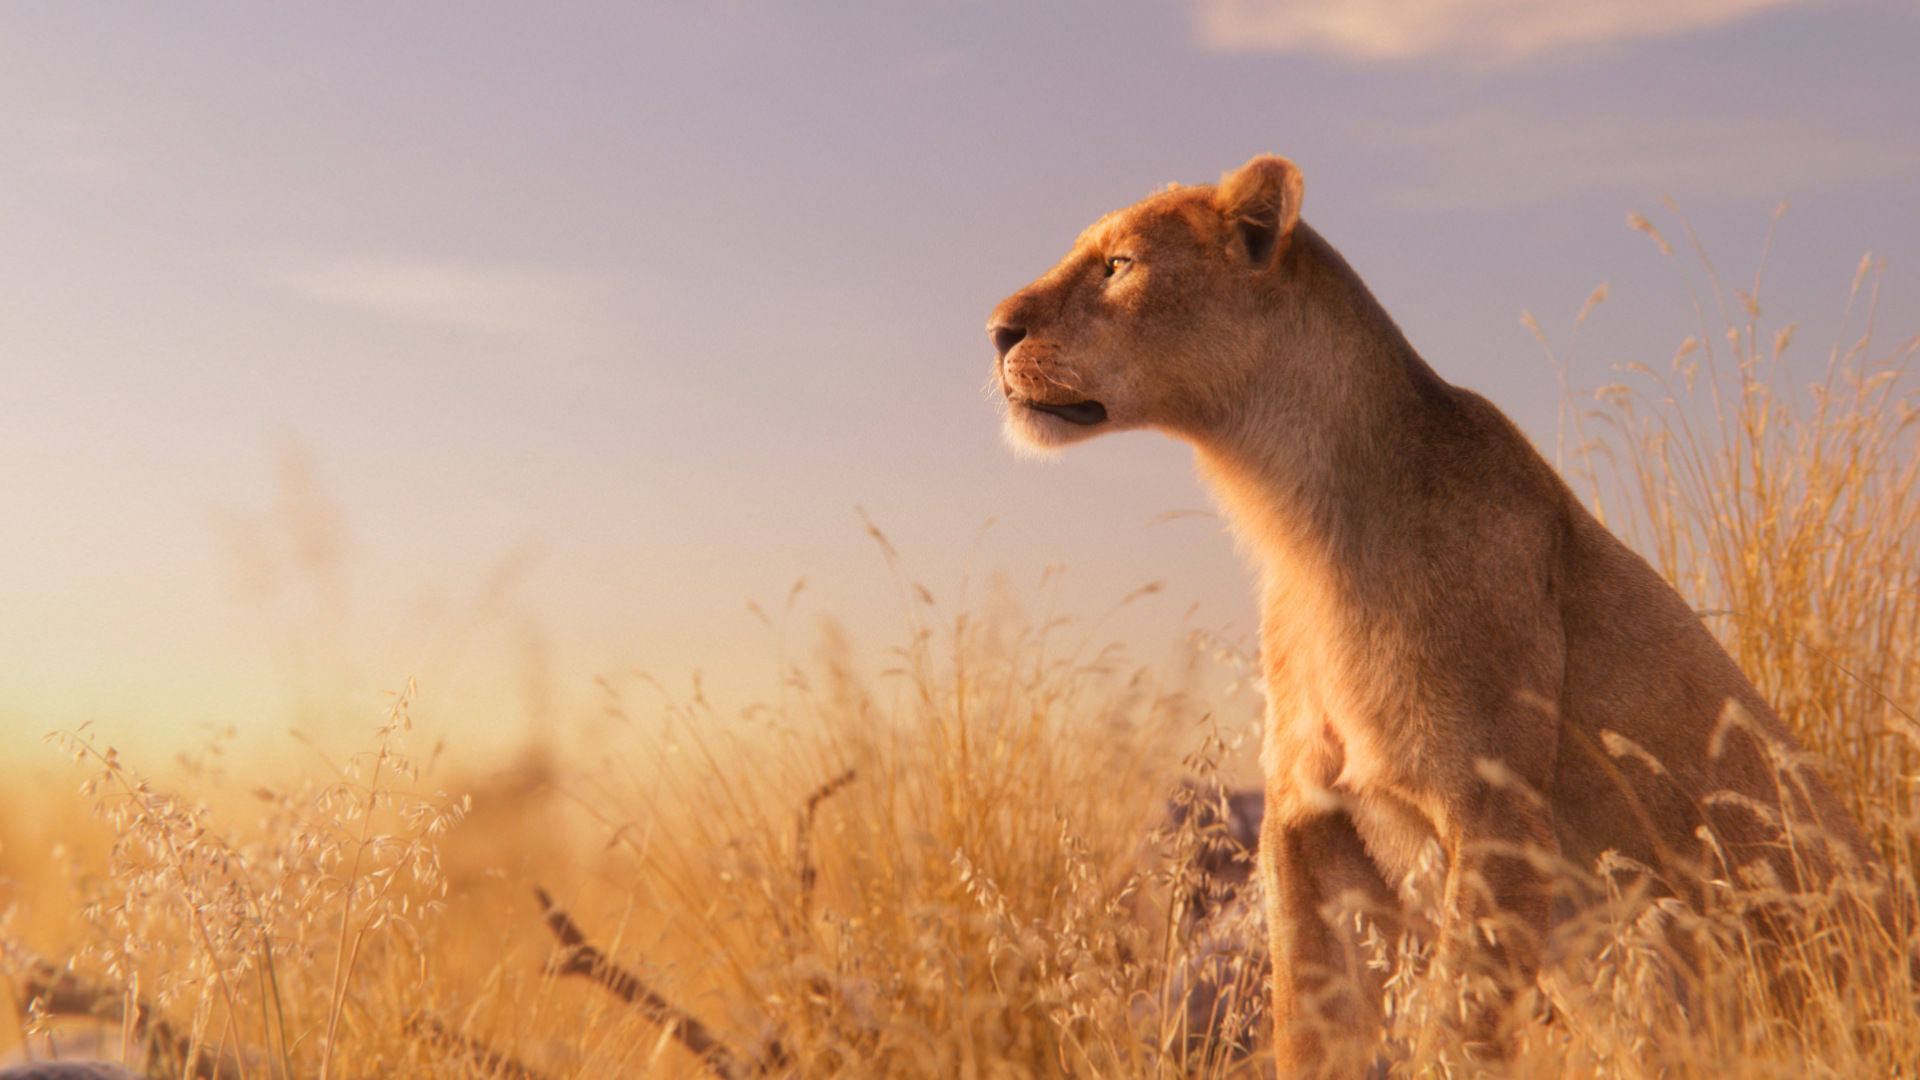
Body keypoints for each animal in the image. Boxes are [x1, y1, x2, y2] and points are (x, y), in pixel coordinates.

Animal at [987, 154, 1886, 1076]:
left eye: (1119, 265)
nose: (995, 331)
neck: (1299, 519)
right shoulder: (1309, 822)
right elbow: (1309, 1030)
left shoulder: (1494, 816)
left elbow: (1457, 1031)